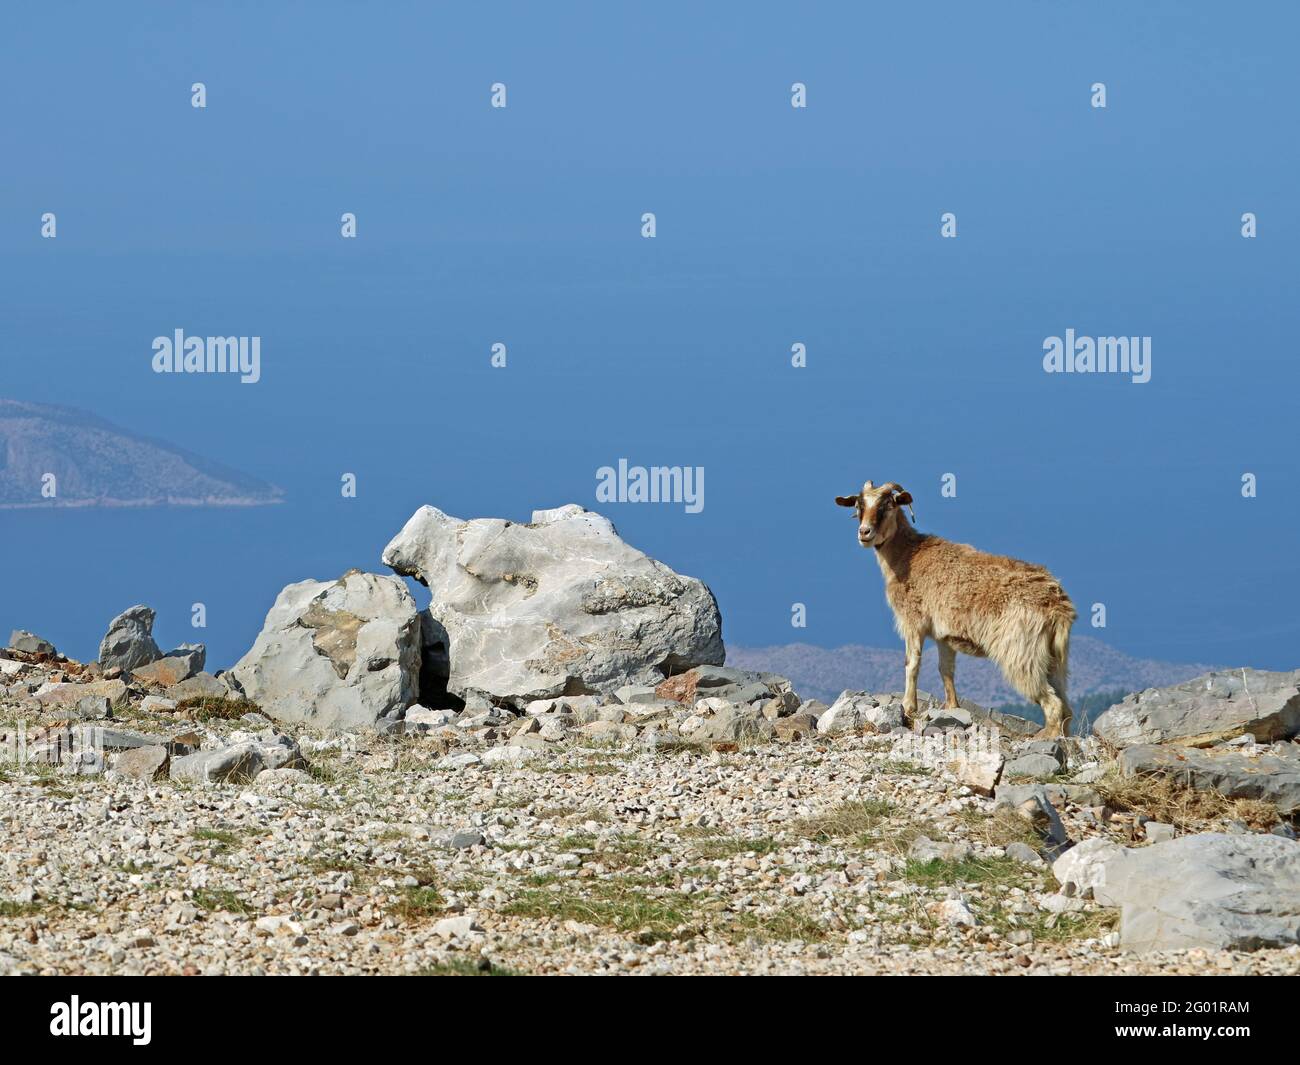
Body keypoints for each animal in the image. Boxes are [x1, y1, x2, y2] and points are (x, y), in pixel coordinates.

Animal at [837, 478, 1071, 738]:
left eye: (888, 504)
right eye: (858, 505)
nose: (864, 532)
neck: (907, 555)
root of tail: (1057, 604)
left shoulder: (913, 620)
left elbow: (912, 663)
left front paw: (908, 707)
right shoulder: (944, 636)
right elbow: (945, 670)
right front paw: (951, 708)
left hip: (1022, 651)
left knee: (1052, 702)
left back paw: (1048, 736)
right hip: (1052, 656)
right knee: (1065, 703)